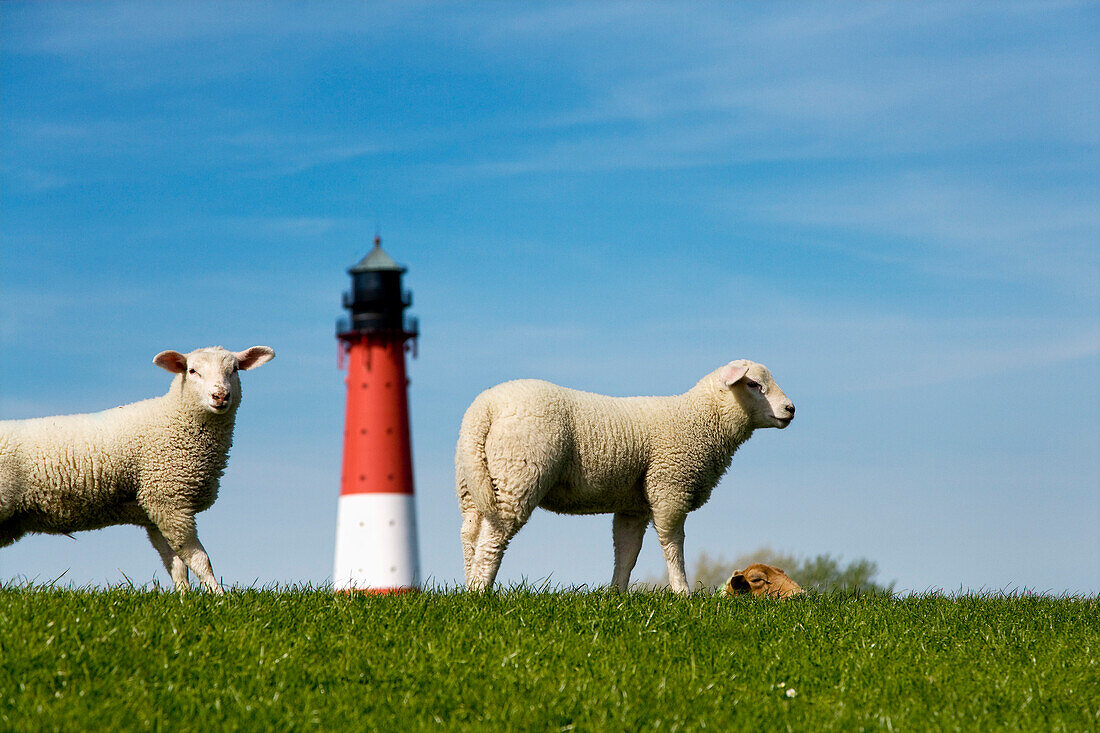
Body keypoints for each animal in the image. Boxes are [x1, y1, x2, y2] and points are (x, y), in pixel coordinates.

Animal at [0, 345, 273, 589]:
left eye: (235, 369)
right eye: (192, 370)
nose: (220, 396)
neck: (174, 419)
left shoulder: (154, 509)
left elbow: (176, 565)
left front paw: (184, 599)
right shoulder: (169, 499)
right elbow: (199, 560)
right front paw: (219, 597)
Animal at [451, 358, 796, 594]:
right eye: (753, 384)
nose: (791, 409)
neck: (700, 419)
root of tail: (484, 408)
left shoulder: (634, 504)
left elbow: (627, 552)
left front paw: (616, 594)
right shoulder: (670, 488)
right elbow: (673, 546)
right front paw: (682, 592)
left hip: (475, 481)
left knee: (470, 534)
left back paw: (468, 588)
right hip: (518, 473)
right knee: (493, 538)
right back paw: (482, 590)